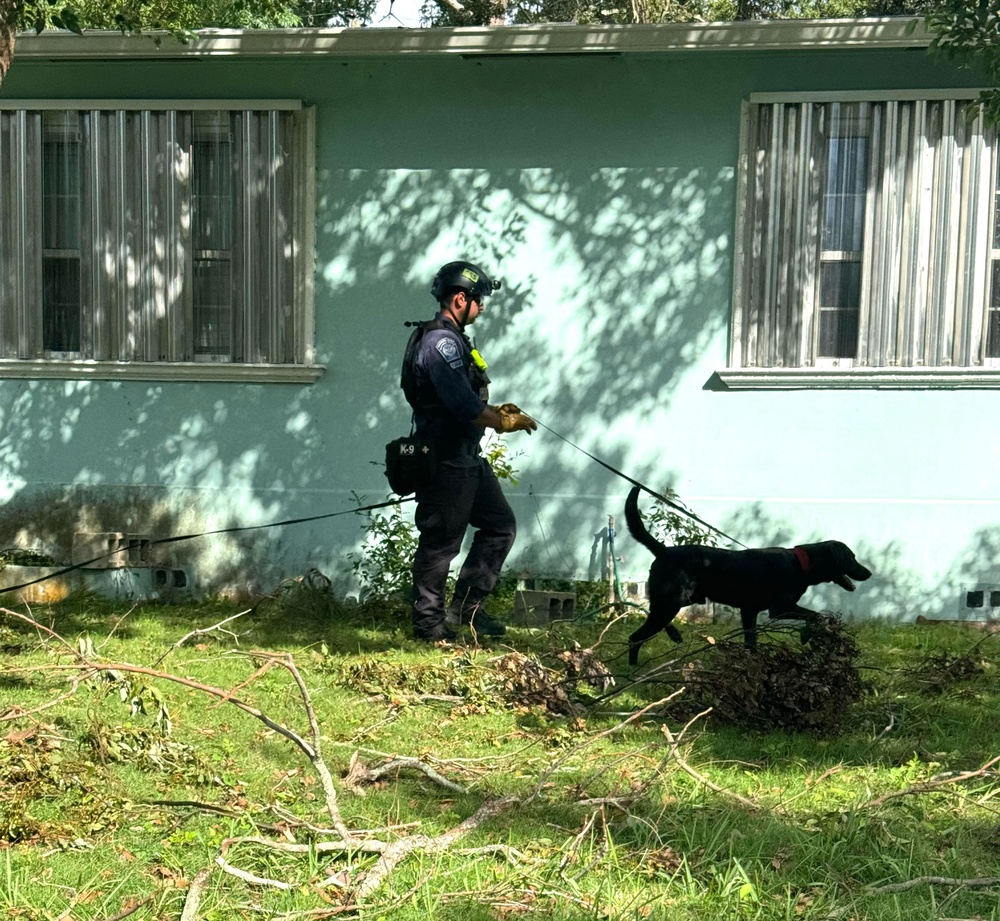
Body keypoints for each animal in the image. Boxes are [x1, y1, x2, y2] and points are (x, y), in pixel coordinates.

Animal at [620, 486, 872, 664]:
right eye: (852, 558)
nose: (869, 573)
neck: (800, 564)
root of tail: (664, 550)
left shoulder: (749, 611)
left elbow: (752, 642)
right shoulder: (780, 608)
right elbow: (817, 615)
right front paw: (806, 635)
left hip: (673, 602)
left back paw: (671, 636)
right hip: (671, 601)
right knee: (635, 637)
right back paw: (633, 671)